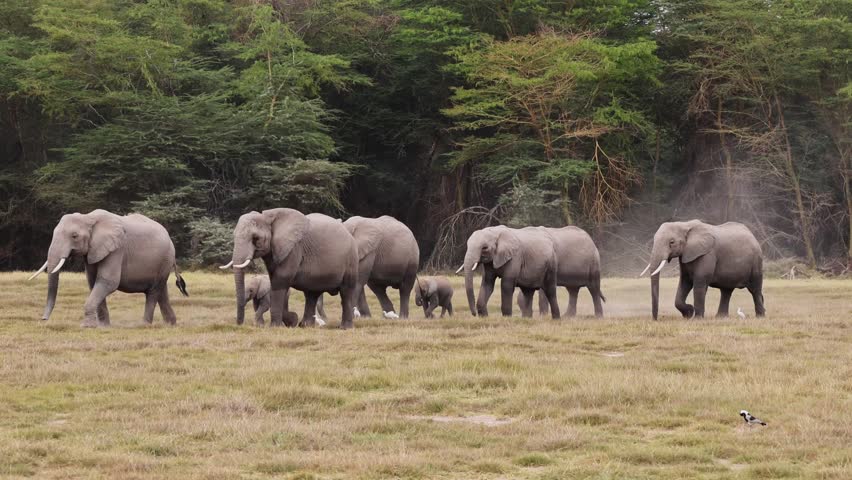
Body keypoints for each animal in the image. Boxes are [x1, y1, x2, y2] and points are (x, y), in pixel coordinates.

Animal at [29, 209, 188, 327]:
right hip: (163, 263)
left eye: (74, 236)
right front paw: (103, 326)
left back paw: (144, 325)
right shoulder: (93, 251)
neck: (89, 218)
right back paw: (170, 324)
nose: (43, 319)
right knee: (161, 291)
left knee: (153, 292)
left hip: (164, 258)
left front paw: (87, 326)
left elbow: (108, 281)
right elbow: (93, 282)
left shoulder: (116, 249)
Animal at [222, 208, 358, 329]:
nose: (239, 324)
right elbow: (275, 280)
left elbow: (280, 279)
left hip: (350, 260)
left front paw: (275, 327)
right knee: (311, 294)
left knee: (346, 292)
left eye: (255, 238)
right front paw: (290, 321)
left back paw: (345, 327)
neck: (268, 217)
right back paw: (305, 326)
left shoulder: (293, 249)